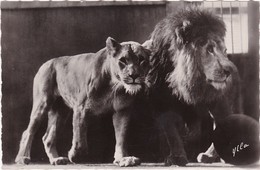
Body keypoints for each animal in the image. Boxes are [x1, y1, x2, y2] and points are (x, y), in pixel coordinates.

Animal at [14, 37, 150, 166]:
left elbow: (121, 137)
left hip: (60, 112)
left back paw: (56, 159)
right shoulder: (81, 108)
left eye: (141, 60)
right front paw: (75, 156)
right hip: (42, 104)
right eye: (123, 60)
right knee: (28, 132)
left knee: (47, 137)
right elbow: (79, 138)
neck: (113, 85)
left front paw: (123, 159)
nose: (134, 75)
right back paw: (22, 158)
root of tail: (47, 62)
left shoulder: (122, 110)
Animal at [144, 7, 242, 166]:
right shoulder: (162, 102)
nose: (229, 71)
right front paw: (177, 157)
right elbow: (171, 132)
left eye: (225, 50)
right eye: (209, 49)